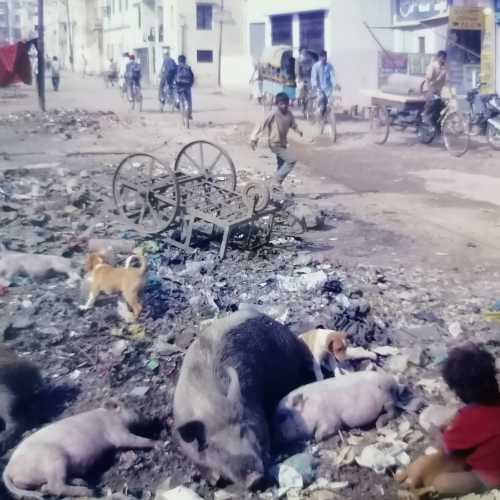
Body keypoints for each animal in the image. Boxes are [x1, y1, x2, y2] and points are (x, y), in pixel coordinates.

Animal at [2, 400, 156, 498]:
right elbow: (132, 440)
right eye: (136, 409)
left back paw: (80, 482)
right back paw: (90, 492)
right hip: (53, 459)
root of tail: (8, 470)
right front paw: (158, 443)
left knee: (48, 486)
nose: (151, 416)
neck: (110, 415)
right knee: (55, 486)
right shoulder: (117, 432)